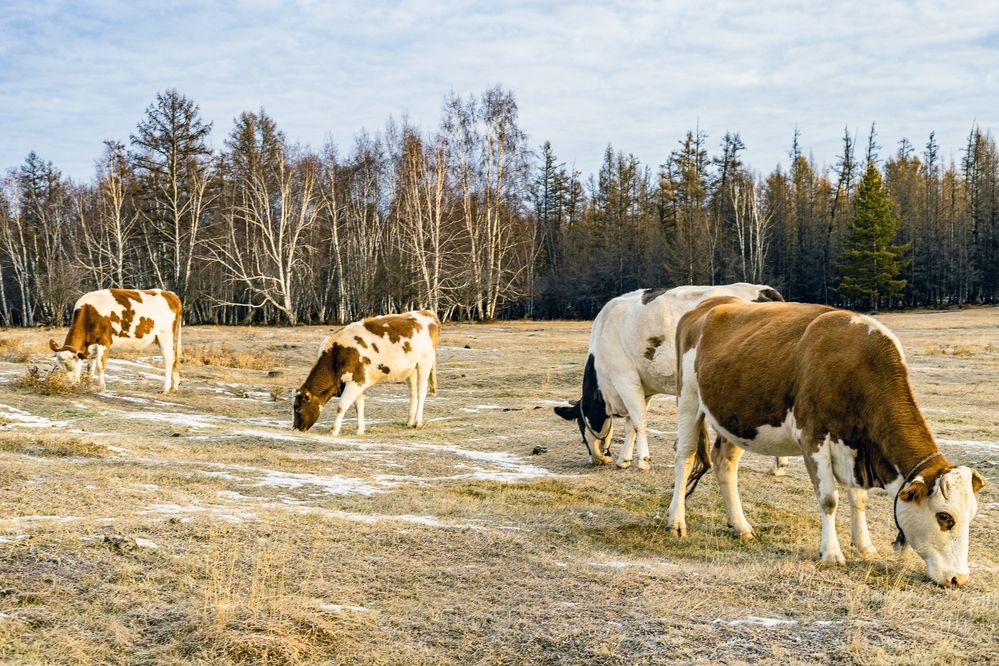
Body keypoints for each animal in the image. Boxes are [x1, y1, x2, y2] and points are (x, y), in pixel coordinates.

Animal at [49, 289, 182, 393]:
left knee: (169, 359)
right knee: (174, 357)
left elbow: (99, 365)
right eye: (61, 368)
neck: (88, 313)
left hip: (165, 335)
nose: (71, 385)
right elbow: (90, 368)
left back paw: (165, 388)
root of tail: (170, 294)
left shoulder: (104, 341)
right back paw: (174, 387)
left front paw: (102, 388)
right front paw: (89, 386)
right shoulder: (90, 346)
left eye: (72, 367)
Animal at [293, 310, 440, 435]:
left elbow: (342, 406)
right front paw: (360, 430)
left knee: (421, 391)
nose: (295, 428)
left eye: (298, 408)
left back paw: (417, 422)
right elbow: (359, 405)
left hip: (424, 362)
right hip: (411, 369)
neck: (336, 356)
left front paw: (334, 430)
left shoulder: (356, 380)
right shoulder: (358, 381)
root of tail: (427, 312)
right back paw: (409, 422)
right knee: (413, 393)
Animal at [554, 283, 785, 470]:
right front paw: (624, 460)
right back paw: (778, 466)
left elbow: (638, 421)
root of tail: (765, 290)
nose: (596, 459)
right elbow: (630, 425)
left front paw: (642, 461)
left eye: (580, 426)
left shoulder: (624, 378)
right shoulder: (642, 385)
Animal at [669, 296, 987, 587]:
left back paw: (741, 526)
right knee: (685, 457)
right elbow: (829, 499)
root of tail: (711, 303)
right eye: (945, 517)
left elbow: (858, 499)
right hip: (688, 397)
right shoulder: (814, 437)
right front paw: (832, 553)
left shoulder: (855, 446)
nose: (959, 579)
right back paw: (676, 521)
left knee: (725, 463)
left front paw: (865, 546)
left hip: (735, 418)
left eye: (971, 515)